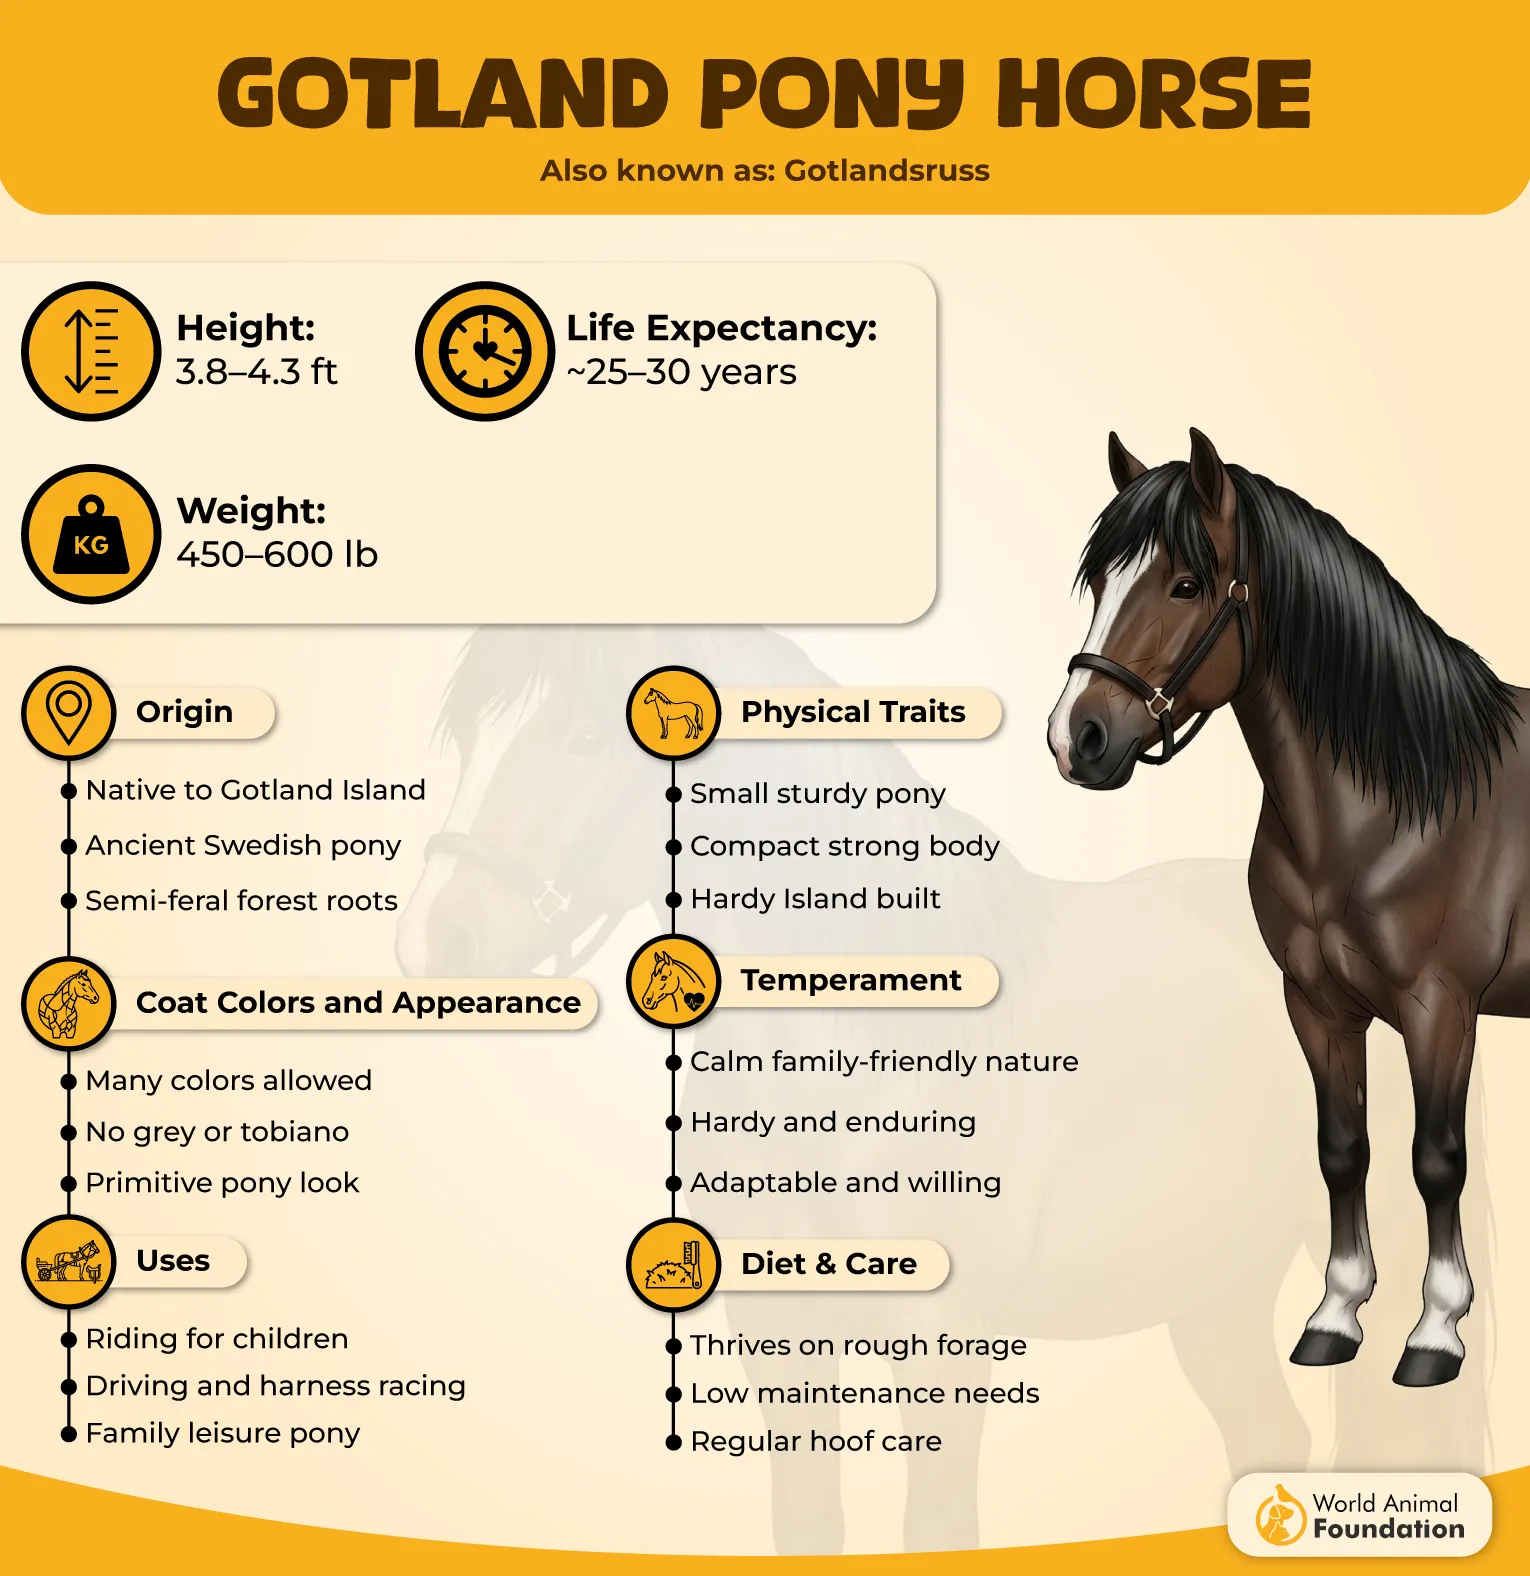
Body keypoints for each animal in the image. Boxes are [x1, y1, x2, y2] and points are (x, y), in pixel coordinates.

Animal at [399, 625, 1492, 1552]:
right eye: (466, 737)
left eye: (588, 735)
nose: (440, 941)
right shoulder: (780, 1338)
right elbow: (807, 1523)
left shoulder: (949, 1348)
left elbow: (939, 1526)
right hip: (1213, 1293)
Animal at [1048, 428, 1522, 1390]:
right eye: (1100, 581)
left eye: (1187, 584)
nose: (1077, 738)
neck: (1398, 807)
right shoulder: (1316, 1004)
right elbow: (1343, 1150)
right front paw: (1336, 1317)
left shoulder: (1441, 1008)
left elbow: (1434, 1161)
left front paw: (1435, 1334)